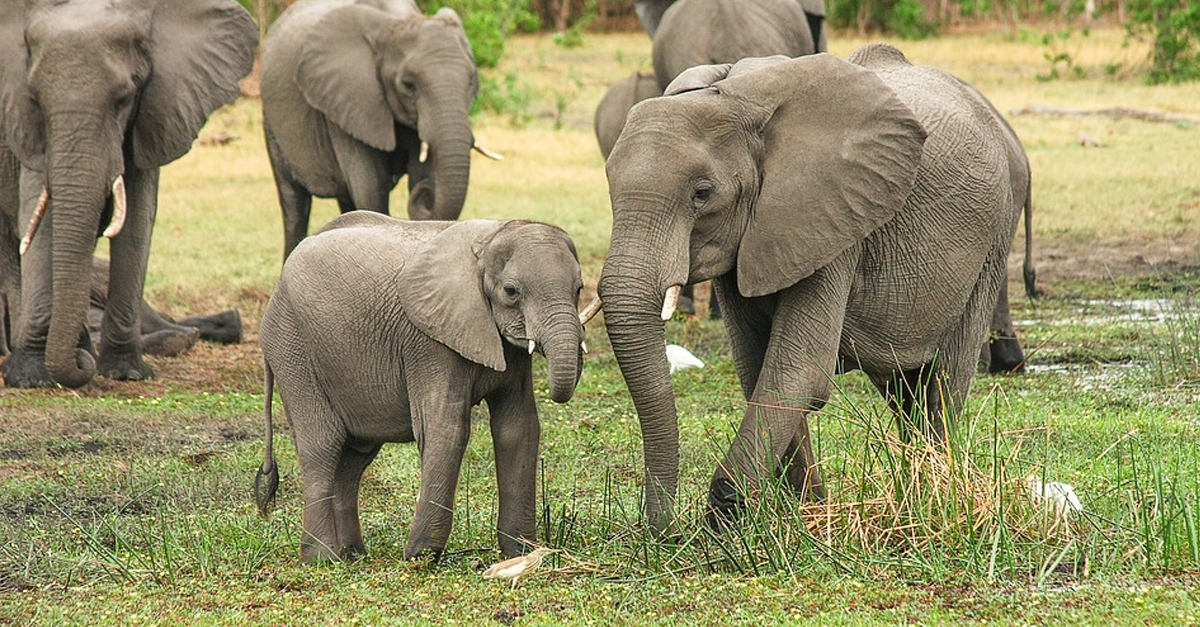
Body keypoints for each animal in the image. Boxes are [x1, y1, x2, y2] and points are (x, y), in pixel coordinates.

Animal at [0, 0, 257, 389]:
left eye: (124, 99)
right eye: (35, 100)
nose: (79, 366)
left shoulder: (154, 112)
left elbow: (137, 218)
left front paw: (125, 372)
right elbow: (38, 219)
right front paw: (30, 377)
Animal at [254, 211, 587, 563]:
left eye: (579, 288)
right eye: (511, 291)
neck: (490, 238)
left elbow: (518, 428)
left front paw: (521, 554)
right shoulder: (429, 342)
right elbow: (446, 429)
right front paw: (420, 557)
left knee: (354, 458)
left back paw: (353, 555)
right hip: (292, 347)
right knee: (322, 446)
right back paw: (323, 559)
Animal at [262, 0, 495, 260]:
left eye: (472, 82)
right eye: (408, 85)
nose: (425, 193)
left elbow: (418, 172)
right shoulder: (349, 102)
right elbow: (370, 189)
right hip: (271, 122)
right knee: (294, 203)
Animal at [589, 45, 1028, 533]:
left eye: (701, 194)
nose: (664, 531)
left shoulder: (834, 218)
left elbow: (797, 371)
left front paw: (726, 520)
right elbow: (758, 368)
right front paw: (805, 513)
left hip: (993, 237)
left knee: (942, 381)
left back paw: (934, 495)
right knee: (903, 390)